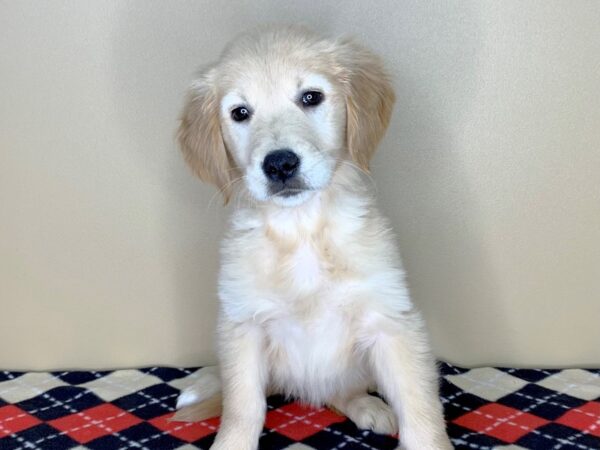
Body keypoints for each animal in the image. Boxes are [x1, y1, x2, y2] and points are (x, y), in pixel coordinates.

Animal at [173, 25, 450, 450]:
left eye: (311, 97)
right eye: (240, 113)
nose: (279, 164)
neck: (301, 229)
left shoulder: (390, 320)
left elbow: (420, 408)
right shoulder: (243, 324)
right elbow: (242, 406)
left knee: (340, 391)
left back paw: (369, 406)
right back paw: (200, 383)